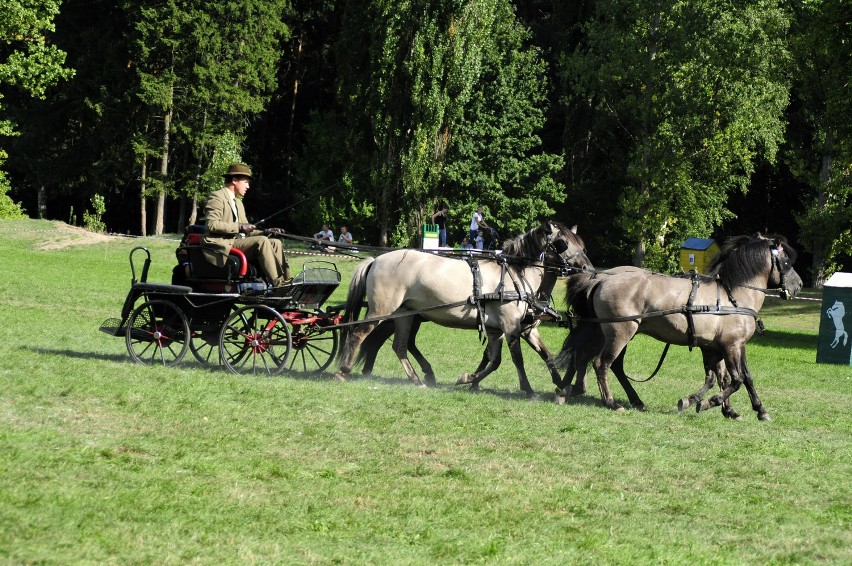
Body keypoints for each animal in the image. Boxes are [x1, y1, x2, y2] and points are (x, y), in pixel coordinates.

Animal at [334, 222, 592, 394]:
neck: (515, 273)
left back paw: (418, 379)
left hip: (405, 315)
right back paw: (344, 370)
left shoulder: (508, 329)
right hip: (382, 309)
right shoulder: (510, 326)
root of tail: (376, 260)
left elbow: (524, 356)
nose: (588, 269)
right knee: (360, 334)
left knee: (399, 346)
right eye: (563, 244)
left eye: (582, 245)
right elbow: (516, 358)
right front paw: (527, 389)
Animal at [556, 234, 804, 422]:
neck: (733, 297)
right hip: (619, 333)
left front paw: (742, 410)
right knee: (602, 363)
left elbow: (730, 378)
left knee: (598, 359)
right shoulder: (731, 346)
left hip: (611, 332)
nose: (799, 285)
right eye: (787, 262)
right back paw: (610, 402)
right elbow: (736, 380)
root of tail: (601, 279)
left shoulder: (721, 347)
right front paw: (708, 402)